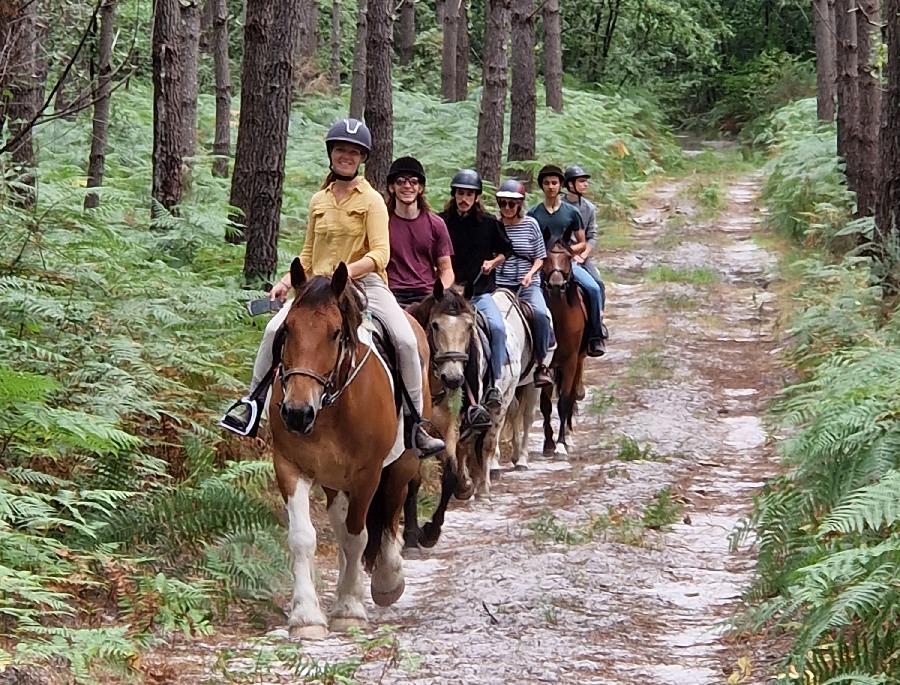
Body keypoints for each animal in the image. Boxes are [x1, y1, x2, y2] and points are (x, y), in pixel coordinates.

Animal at [268, 260, 424, 640]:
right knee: (341, 523)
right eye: (287, 330)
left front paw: (350, 611)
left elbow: (358, 536)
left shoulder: (367, 474)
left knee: (390, 513)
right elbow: (303, 537)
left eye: (336, 333)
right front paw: (306, 616)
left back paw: (387, 580)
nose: (296, 413)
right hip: (333, 478)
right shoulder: (289, 466)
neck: (330, 406)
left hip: (402, 463)